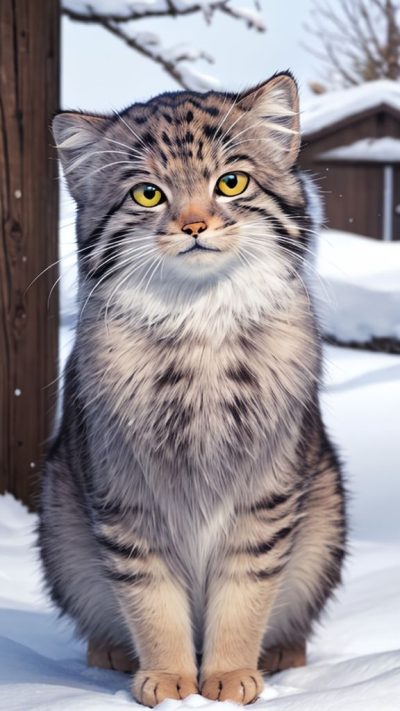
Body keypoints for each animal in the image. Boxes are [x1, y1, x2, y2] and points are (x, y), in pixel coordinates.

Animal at [39, 73, 346, 708]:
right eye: (148, 194)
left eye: (231, 182)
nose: (195, 226)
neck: (199, 328)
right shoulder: (125, 499)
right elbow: (152, 603)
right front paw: (172, 681)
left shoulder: (265, 498)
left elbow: (245, 595)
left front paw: (227, 677)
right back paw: (112, 653)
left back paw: (281, 654)